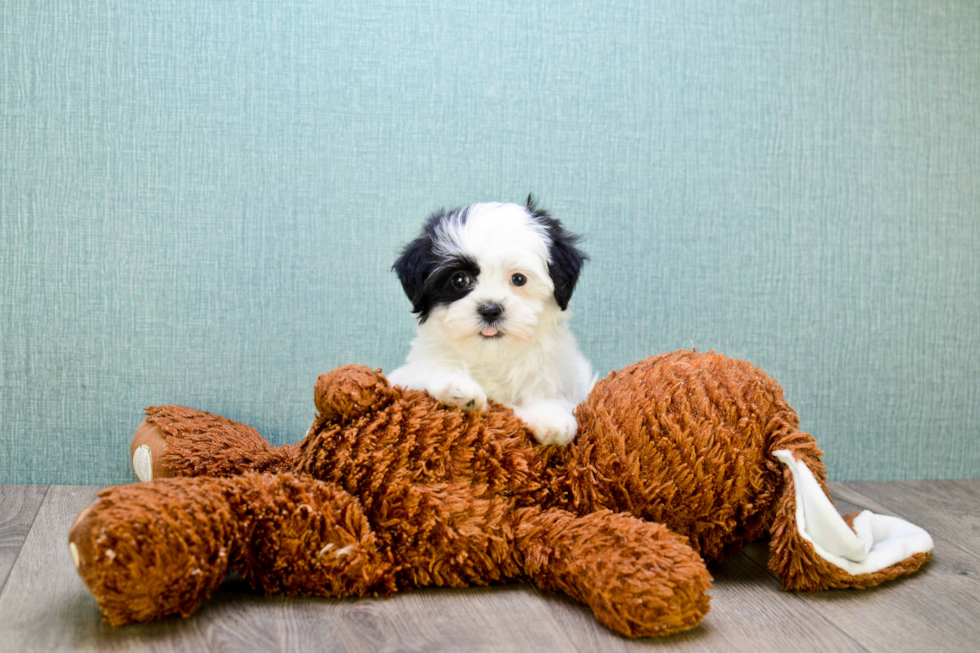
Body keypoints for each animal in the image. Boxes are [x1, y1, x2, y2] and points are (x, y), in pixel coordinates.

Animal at [386, 196, 592, 446]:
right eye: (460, 280)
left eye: (518, 279)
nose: (491, 310)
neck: (492, 357)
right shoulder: (404, 376)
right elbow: (423, 372)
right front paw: (458, 389)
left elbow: (552, 399)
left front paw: (551, 418)